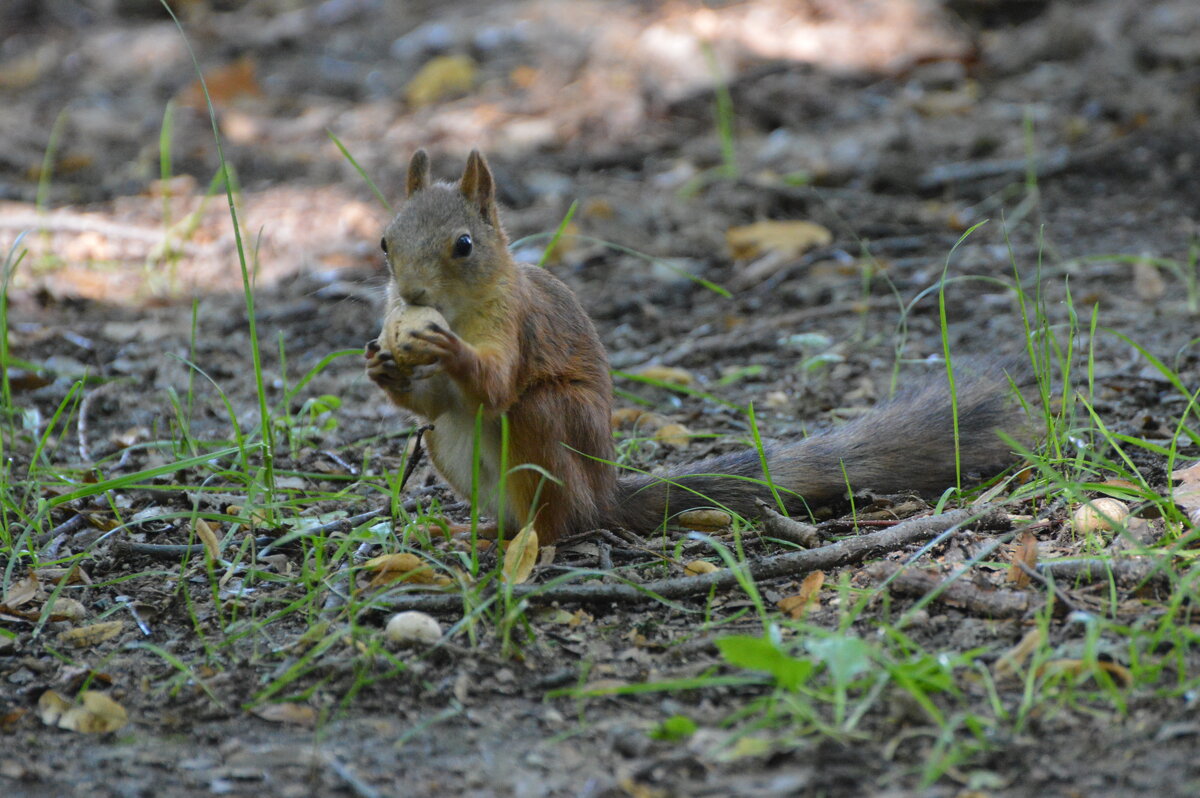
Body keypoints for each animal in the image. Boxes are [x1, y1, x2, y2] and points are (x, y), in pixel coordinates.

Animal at [362, 149, 1022, 544]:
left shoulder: (518, 323)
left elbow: (495, 383)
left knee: (560, 514)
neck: (460, 311)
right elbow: (432, 401)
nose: (411, 293)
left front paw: (448, 352)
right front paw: (381, 366)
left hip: (549, 425)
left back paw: (534, 545)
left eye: (464, 245)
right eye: (385, 242)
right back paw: (473, 533)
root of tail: (606, 496)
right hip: (446, 450)